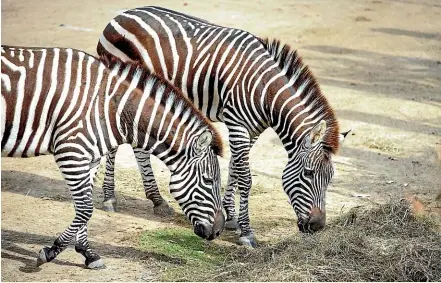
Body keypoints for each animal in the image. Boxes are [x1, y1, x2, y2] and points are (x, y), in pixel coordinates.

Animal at [0, 46, 225, 268]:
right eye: (208, 180)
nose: (219, 231)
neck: (110, 107)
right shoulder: (71, 152)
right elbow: (86, 209)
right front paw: (51, 251)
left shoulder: (88, 158)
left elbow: (84, 206)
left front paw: (88, 253)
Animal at [96, 5, 348, 247]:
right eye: (308, 173)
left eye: (330, 179)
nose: (317, 226)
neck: (266, 91)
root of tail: (122, 14)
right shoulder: (237, 124)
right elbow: (245, 178)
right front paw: (246, 232)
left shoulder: (252, 130)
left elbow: (235, 169)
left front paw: (231, 218)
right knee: (114, 141)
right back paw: (109, 197)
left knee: (139, 147)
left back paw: (157, 200)